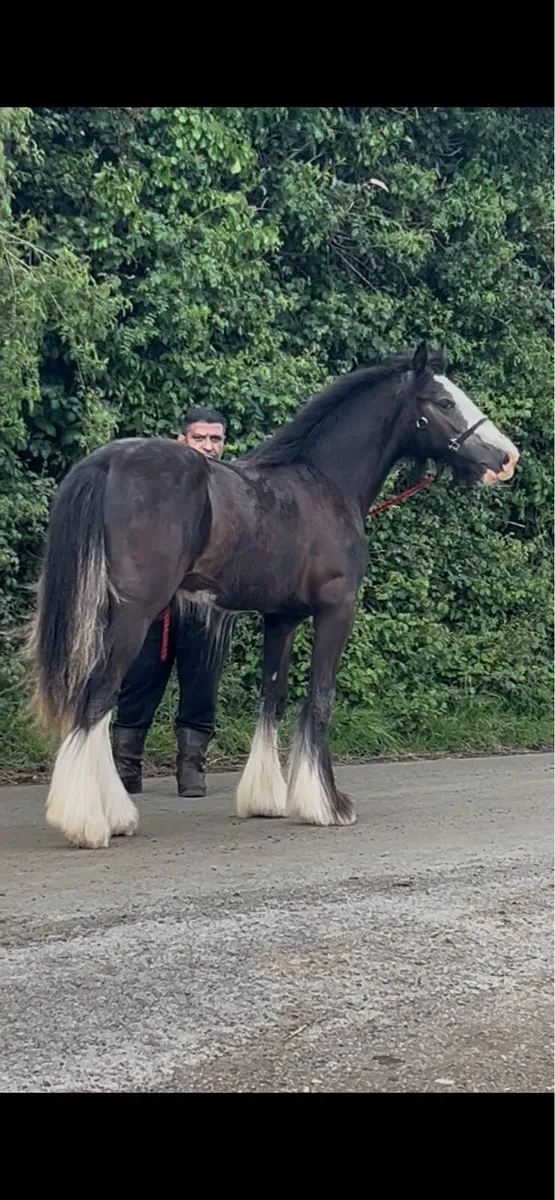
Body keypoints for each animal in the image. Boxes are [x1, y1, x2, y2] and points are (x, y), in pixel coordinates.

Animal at [29, 343, 519, 849]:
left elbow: (273, 697)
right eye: (443, 402)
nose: (507, 458)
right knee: (98, 696)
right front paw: (327, 804)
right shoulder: (336, 610)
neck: (323, 483)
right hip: (135, 615)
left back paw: (113, 814)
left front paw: (266, 798)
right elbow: (320, 698)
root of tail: (106, 461)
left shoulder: (280, 618)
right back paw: (88, 821)